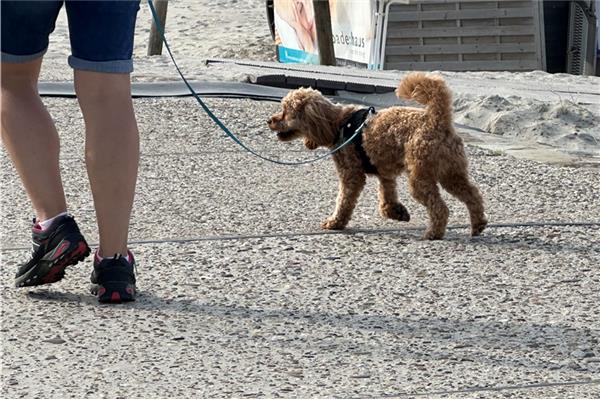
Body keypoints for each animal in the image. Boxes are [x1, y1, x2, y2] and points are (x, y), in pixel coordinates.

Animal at [268, 72, 488, 241]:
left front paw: (335, 222)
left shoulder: (351, 174)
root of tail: (437, 120)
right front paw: (396, 212)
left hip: (421, 176)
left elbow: (344, 200)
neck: (338, 124)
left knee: (440, 208)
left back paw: (433, 233)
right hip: (452, 172)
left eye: (286, 111)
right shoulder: (385, 173)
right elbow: (386, 197)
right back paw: (478, 224)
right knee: (473, 195)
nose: (269, 120)